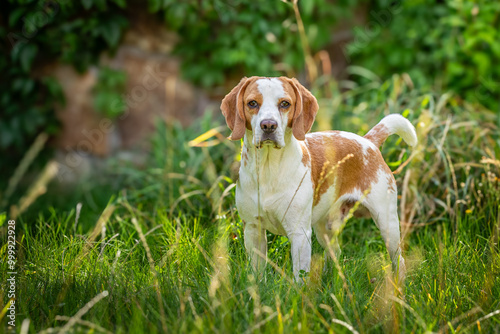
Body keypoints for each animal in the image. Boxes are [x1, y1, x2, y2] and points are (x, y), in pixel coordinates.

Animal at [223, 76, 418, 282]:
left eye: (285, 104)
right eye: (252, 103)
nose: (268, 125)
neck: (269, 170)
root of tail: (368, 141)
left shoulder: (299, 234)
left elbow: (299, 278)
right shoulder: (253, 230)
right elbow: (257, 274)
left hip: (387, 223)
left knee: (399, 259)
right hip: (325, 228)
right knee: (336, 252)